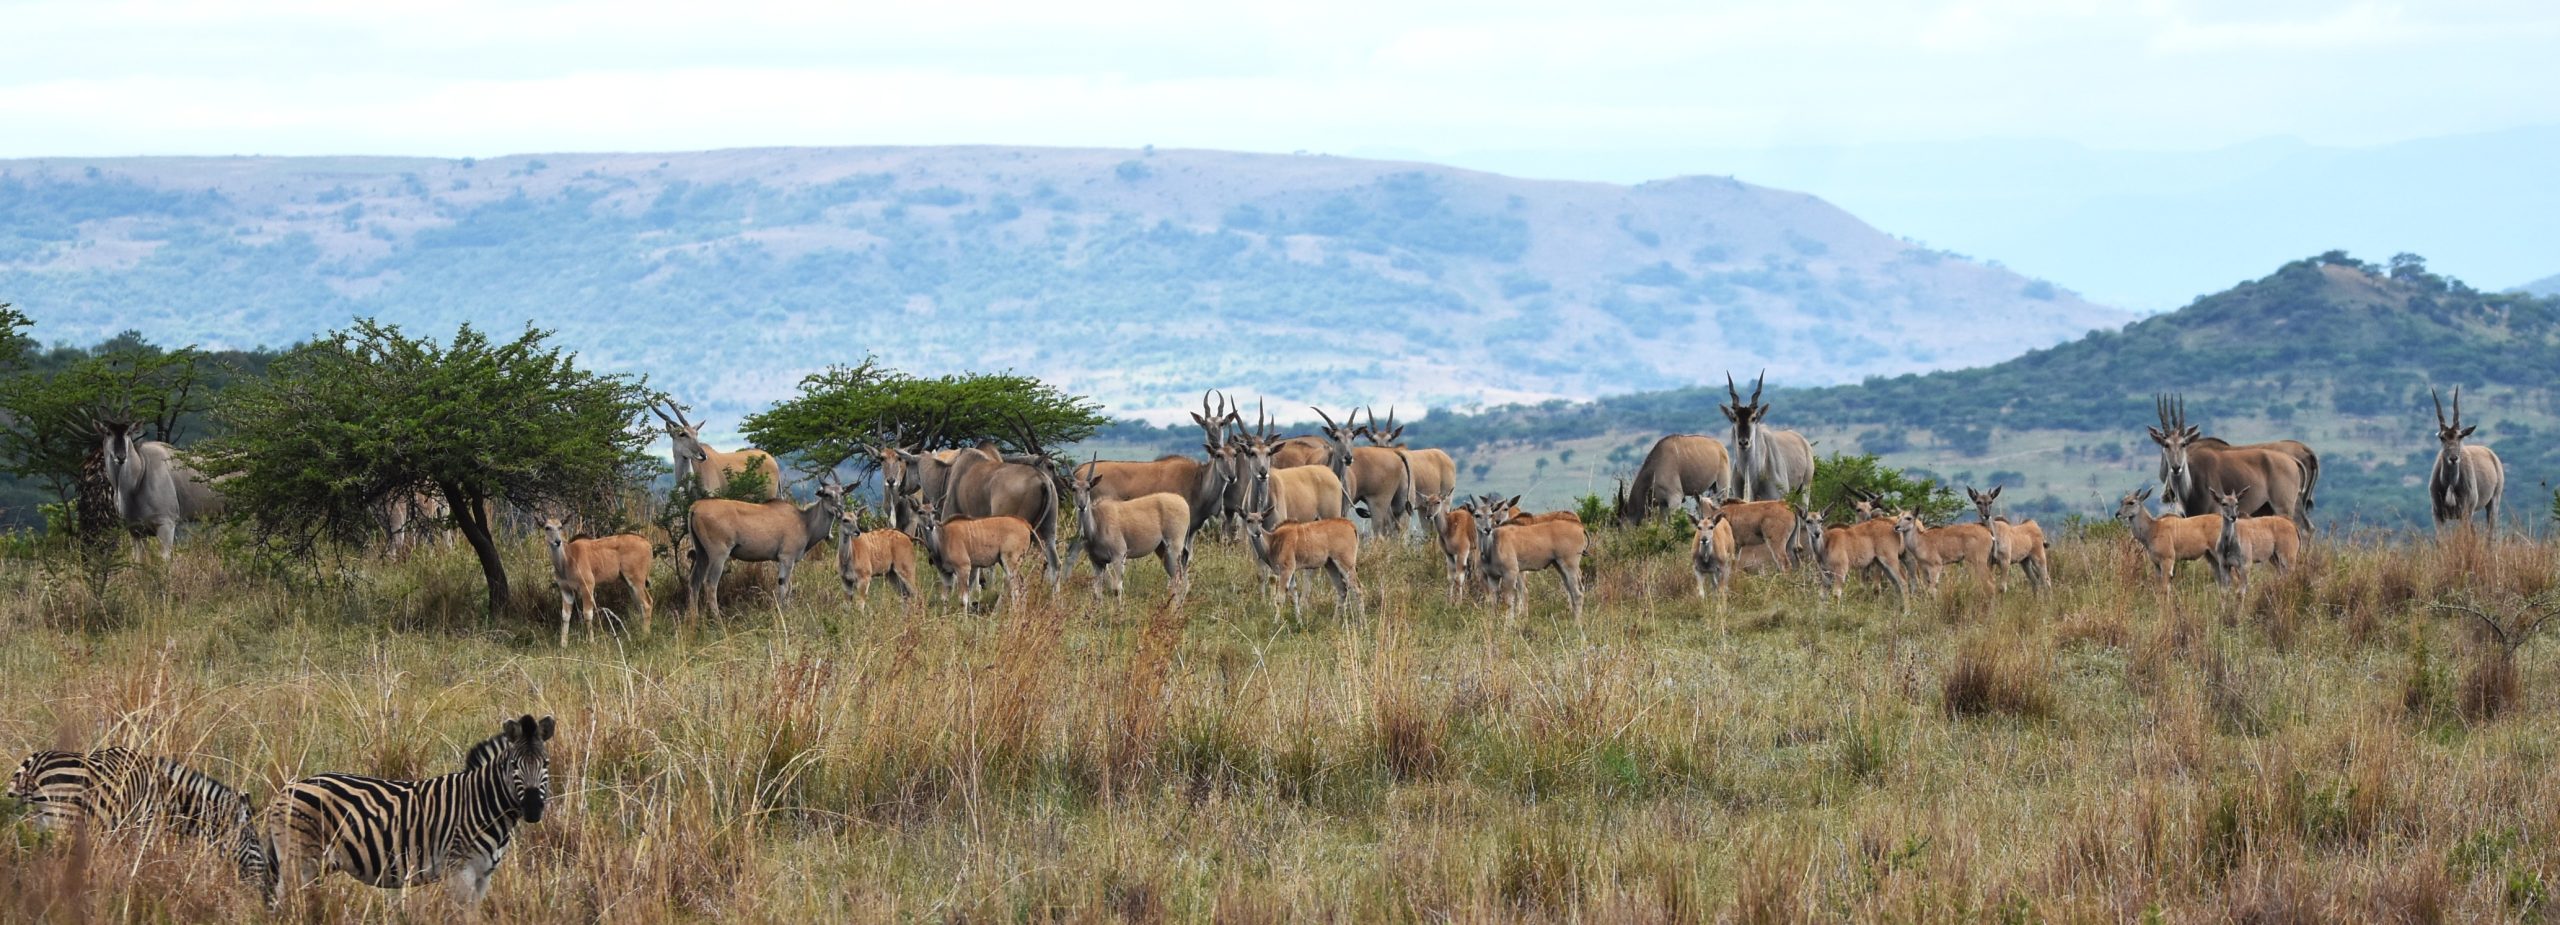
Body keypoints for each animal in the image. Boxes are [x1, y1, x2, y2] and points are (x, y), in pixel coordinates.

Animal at [96, 419, 227, 562]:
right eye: (108, 433)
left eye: (128, 433)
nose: (121, 456)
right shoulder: (135, 531)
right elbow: (139, 561)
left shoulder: (166, 524)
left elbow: (164, 560)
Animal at [538, 518, 653, 647]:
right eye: (547, 527)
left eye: (560, 527)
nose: (557, 541)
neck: (568, 558)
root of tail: (647, 543)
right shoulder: (566, 589)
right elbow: (565, 616)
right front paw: (563, 644)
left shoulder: (587, 586)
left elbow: (587, 614)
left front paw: (591, 642)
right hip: (629, 583)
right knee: (640, 605)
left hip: (636, 580)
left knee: (647, 603)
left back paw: (645, 636)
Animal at [685, 478, 844, 619]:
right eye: (827, 494)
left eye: (842, 493)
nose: (840, 511)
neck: (804, 522)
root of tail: (696, 506)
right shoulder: (787, 558)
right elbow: (784, 586)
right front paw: (783, 611)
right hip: (718, 556)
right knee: (710, 583)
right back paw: (717, 619)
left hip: (702, 554)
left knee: (694, 582)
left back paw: (694, 618)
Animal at [1070, 457, 1191, 603]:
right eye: (1073, 489)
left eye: (1088, 488)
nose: (1081, 506)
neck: (1097, 524)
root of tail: (1183, 502)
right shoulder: (1097, 562)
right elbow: (1097, 593)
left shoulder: (1119, 556)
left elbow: (1117, 589)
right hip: (1162, 550)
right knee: (1177, 578)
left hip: (1174, 548)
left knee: (1178, 579)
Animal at [2429, 387, 2504, 537]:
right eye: (2442, 437)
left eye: (2460, 436)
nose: (2453, 458)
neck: (2450, 483)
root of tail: (2491, 454)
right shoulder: (2437, 513)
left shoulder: (2465, 512)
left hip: (2493, 502)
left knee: (2490, 533)